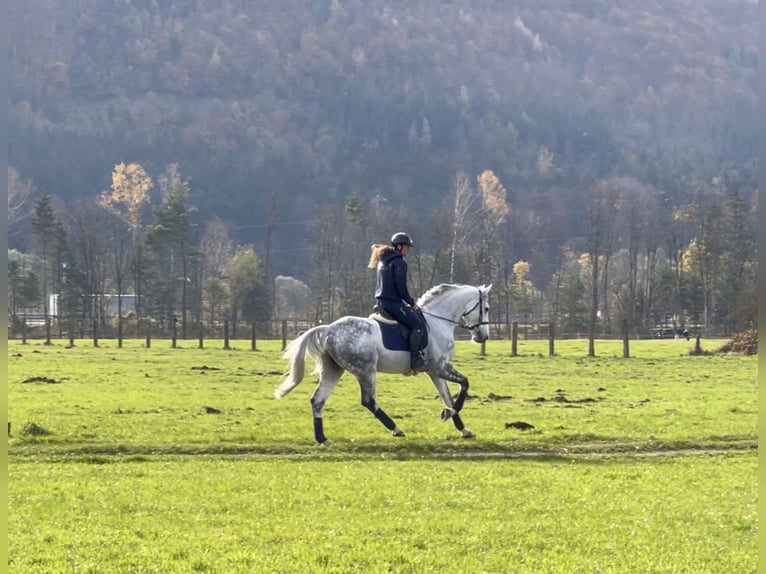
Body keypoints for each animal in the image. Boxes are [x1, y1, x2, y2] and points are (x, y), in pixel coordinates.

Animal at [274, 284, 492, 446]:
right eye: (487, 309)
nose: (483, 337)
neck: (438, 321)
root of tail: (328, 329)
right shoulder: (440, 367)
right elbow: (464, 385)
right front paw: (449, 414)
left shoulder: (435, 372)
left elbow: (447, 396)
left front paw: (463, 428)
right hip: (366, 370)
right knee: (368, 401)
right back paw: (396, 429)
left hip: (334, 370)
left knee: (318, 400)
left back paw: (322, 439)